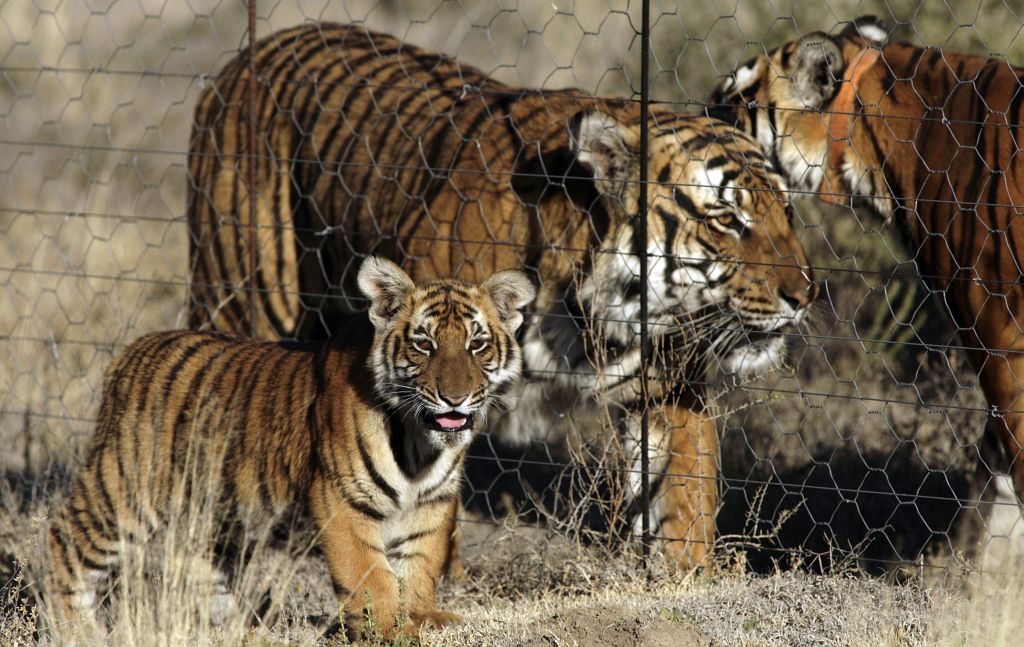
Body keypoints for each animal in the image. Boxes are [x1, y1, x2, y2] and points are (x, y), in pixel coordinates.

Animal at [45, 257, 535, 640]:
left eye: (477, 344)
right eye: (424, 344)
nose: (455, 399)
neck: (418, 442)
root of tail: (130, 353)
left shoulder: (432, 503)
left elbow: (418, 565)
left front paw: (422, 617)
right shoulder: (341, 499)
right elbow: (371, 574)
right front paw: (389, 629)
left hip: (213, 514)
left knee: (196, 567)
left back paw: (238, 628)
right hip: (123, 492)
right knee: (63, 536)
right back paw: (77, 631)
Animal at [186, 22, 818, 567]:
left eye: (785, 211)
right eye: (728, 219)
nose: (805, 295)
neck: (586, 311)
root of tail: (245, 57)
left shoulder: (668, 391)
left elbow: (683, 499)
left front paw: (683, 577)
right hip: (244, 299)